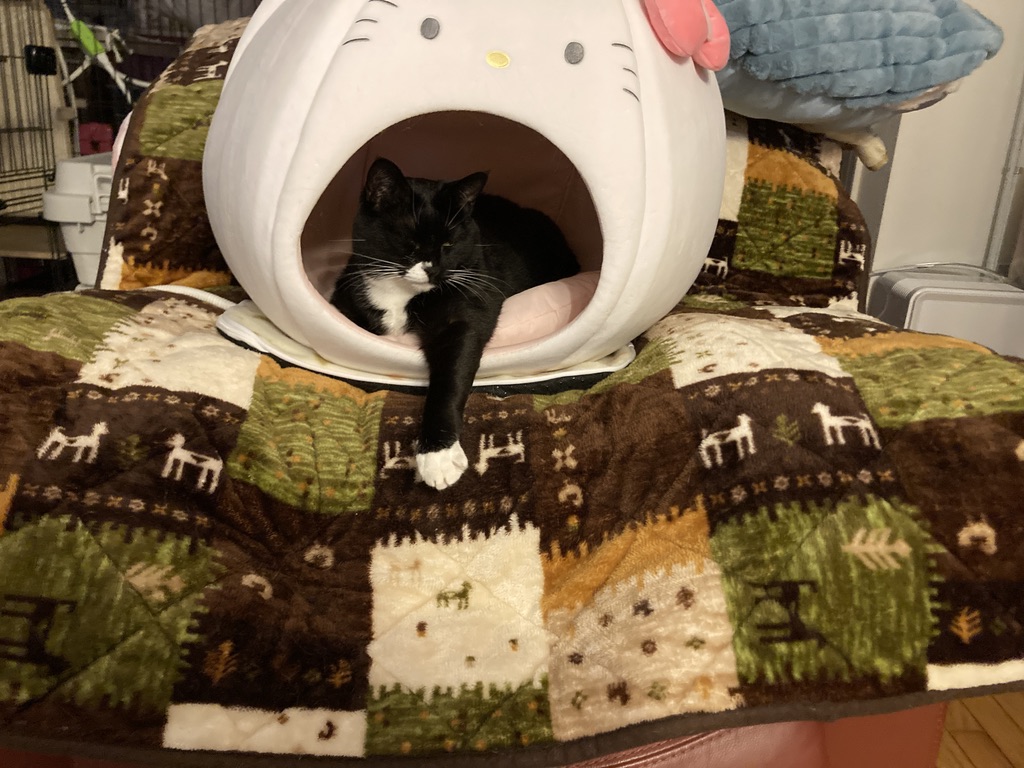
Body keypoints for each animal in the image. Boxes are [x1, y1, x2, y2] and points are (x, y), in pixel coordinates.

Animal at [330, 157, 580, 490]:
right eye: (410, 240)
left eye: (449, 243)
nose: (433, 270)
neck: (402, 293)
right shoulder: (347, 293)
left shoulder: (464, 314)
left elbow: (450, 379)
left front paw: (438, 456)